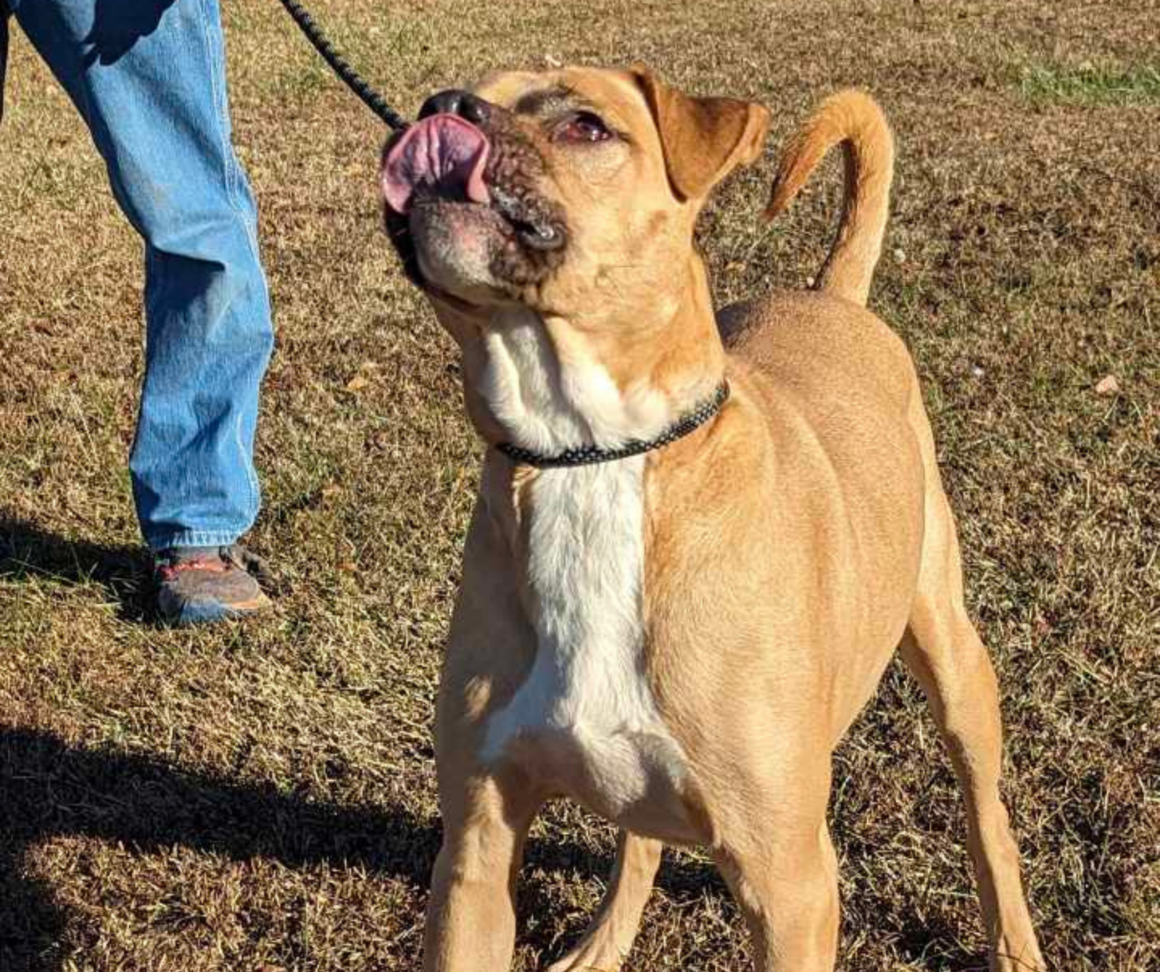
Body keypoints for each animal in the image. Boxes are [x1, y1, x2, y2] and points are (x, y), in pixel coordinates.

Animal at [382, 66, 1053, 972]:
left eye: (586, 125)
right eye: (458, 93)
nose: (443, 110)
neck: (592, 459)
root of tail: (830, 296)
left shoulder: (790, 882)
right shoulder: (475, 854)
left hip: (952, 656)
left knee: (987, 815)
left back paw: (1014, 942)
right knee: (641, 839)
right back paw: (602, 943)